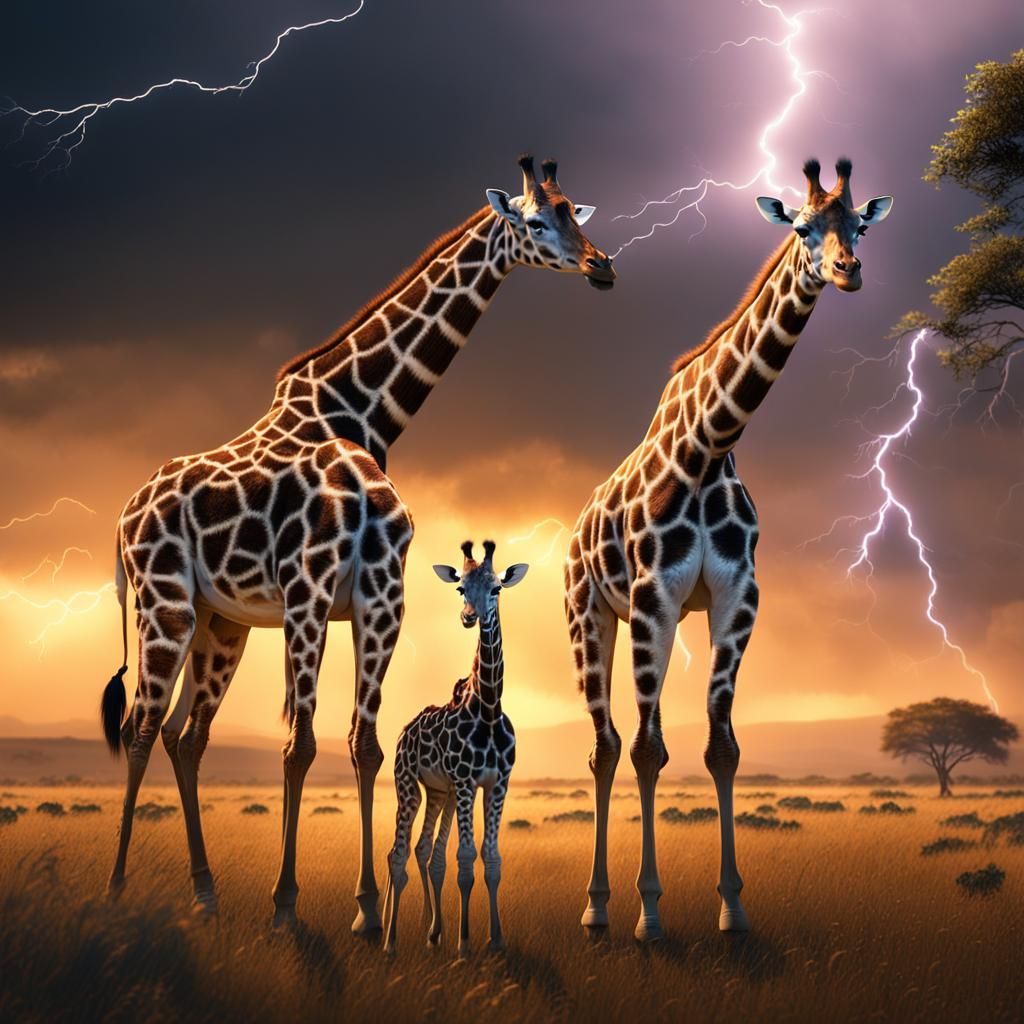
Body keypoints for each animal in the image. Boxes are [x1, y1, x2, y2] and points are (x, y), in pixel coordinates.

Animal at [382, 541, 525, 955]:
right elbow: (464, 860)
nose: (468, 617)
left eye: (497, 589)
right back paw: (389, 939)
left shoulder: (497, 784)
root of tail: (404, 731)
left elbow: (490, 859)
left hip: (438, 793)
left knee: (426, 852)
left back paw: (432, 931)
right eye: (461, 587)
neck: (487, 710)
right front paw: (463, 942)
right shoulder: (465, 783)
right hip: (408, 786)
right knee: (397, 854)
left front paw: (495, 940)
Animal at [563, 158, 893, 941]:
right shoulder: (653, 596)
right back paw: (597, 907)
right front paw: (651, 914)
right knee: (606, 745)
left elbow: (722, 747)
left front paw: (733, 906)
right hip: (590, 612)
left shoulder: (739, 599)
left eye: (860, 227)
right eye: (801, 228)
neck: (710, 445)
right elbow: (649, 748)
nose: (847, 270)